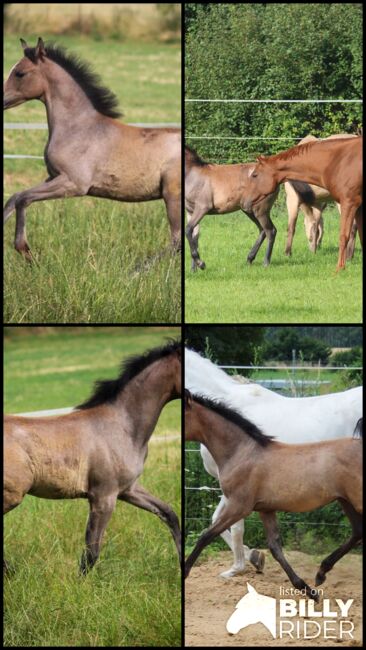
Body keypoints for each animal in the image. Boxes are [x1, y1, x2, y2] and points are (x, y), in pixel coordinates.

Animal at [2, 38, 180, 258]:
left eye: (19, 73)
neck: (79, 128)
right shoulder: (53, 177)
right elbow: (14, 197)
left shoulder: (74, 183)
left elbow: (23, 198)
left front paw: (24, 249)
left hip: (173, 196)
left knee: (176, 241)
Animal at [4, 340, 182, 572]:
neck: (123, 425)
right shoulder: (103, 496)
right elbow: (91, 552)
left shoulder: (128, 489)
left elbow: (170, 514)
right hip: (12, 495)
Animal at [243, 137, 364, 268]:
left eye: (255, 175)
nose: (245, 202)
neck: (337, 161)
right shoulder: (320, 204)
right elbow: (316, 225)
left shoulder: (347, 202)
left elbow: (293, 228)